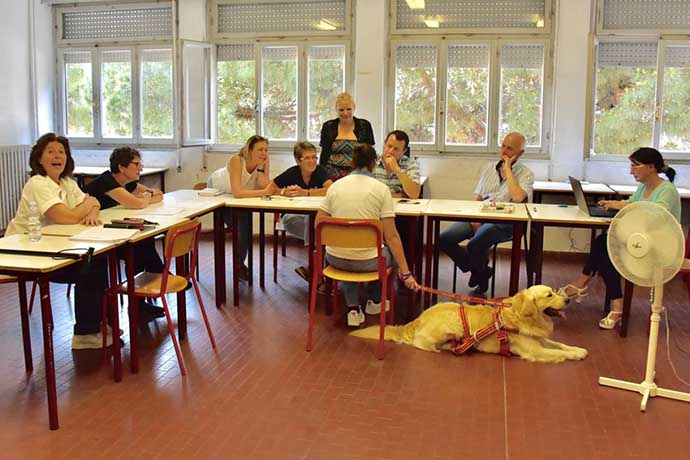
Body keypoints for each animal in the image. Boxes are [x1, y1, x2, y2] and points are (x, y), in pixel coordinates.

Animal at [350, 284, 584, 362]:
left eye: (555, 291)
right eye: (549, 295)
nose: (568, 300)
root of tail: (418, 318)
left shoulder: (541, 340)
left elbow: (560, 344)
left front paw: (578, 349)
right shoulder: (534, 351)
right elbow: (556, 352)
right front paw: (573, 355)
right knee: (420, 344)